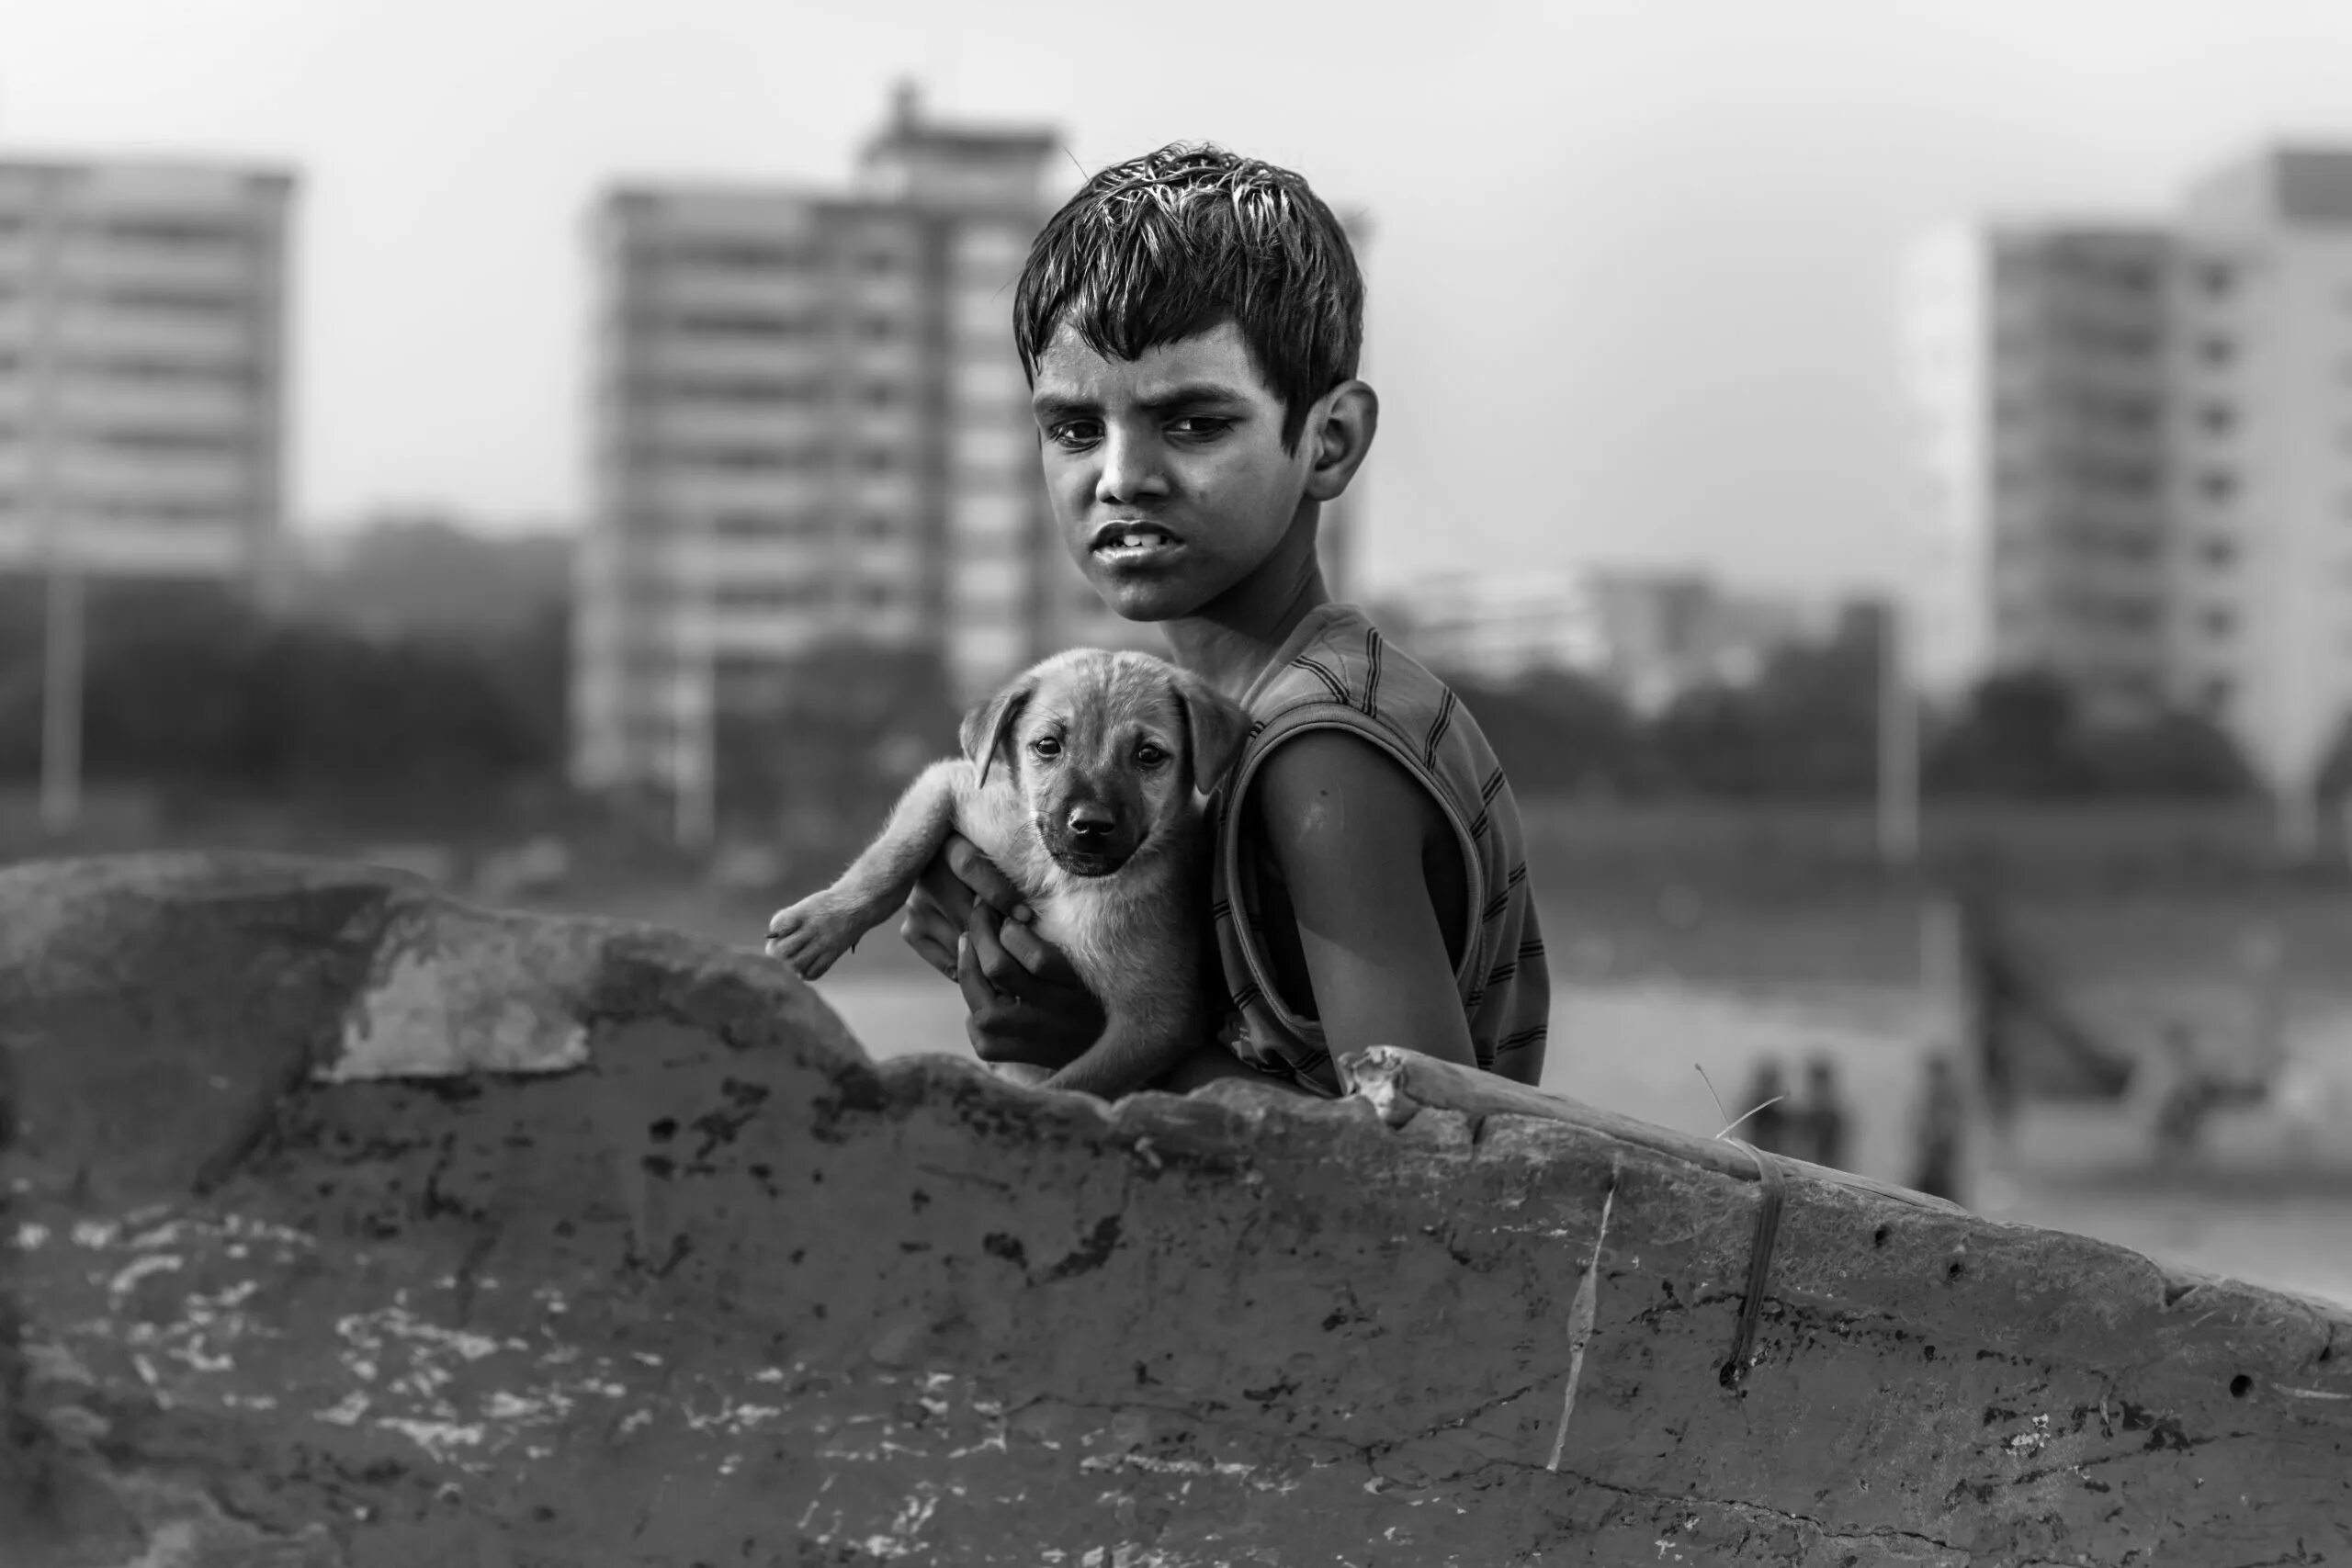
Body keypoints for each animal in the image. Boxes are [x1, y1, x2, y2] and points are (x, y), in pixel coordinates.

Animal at [766, 649, 1250, 1104]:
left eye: (1149, 755)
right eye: (1048, 746)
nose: (1090, 824)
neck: (1063, 881)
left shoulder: (1154, 1022)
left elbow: (1069, 1088)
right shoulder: (956, 785)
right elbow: (895, 854)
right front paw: (820, 926)